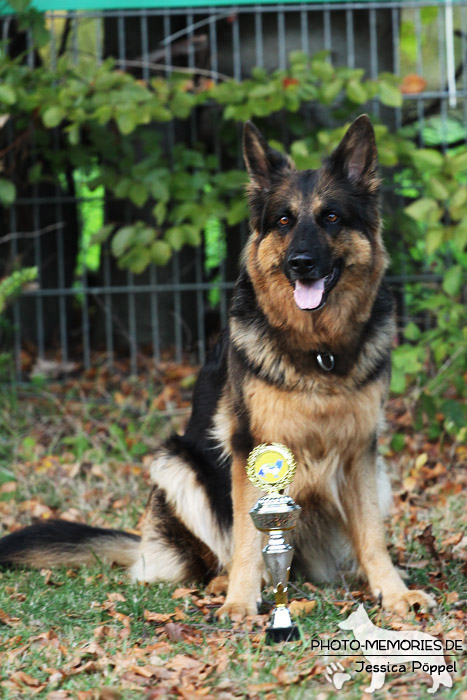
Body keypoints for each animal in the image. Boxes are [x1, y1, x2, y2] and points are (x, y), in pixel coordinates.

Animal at [1, 115, 436, 616]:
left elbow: (372, 534)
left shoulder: (360, 450)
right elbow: (247, 537)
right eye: (284, 220)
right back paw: (224, 584)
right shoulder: (250, 449)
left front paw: (394, 592)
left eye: (331, 217)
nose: (301, 263)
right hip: (176, 464)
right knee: (211, 556)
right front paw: (241, 602)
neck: (317, 350)